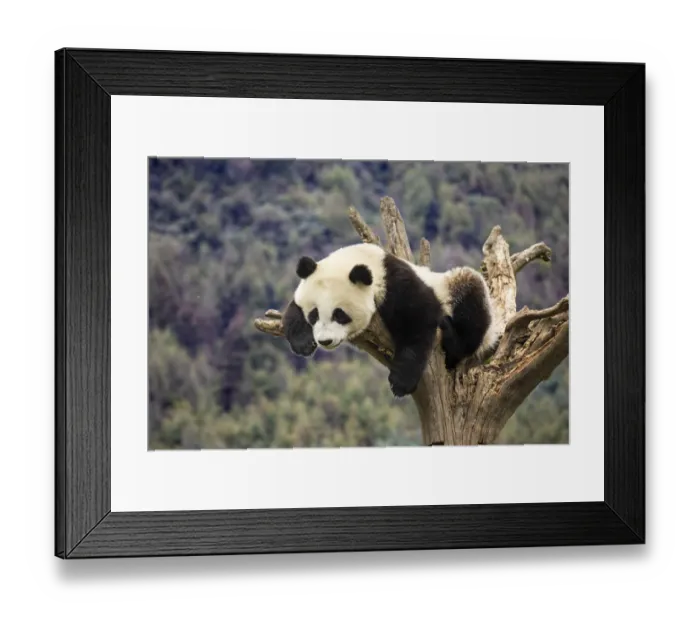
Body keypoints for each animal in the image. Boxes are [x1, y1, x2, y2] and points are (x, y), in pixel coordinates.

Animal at [282, 243, 498, 397]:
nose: (325, 341)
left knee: (471, 308)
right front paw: (303, 342)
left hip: (455, 287)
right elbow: (293, 307)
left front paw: (401, 382)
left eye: (339, 314)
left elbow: (418, 322)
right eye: (314, 314)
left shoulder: (397, 283)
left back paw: (451, 336)